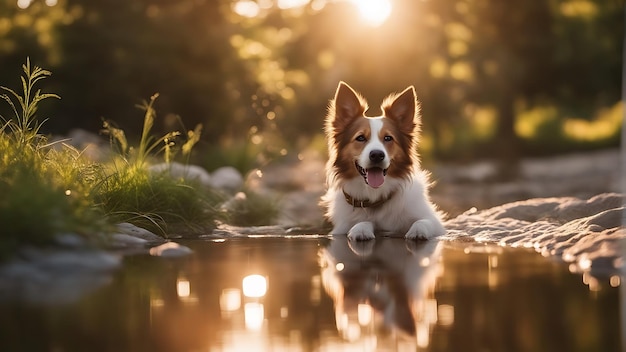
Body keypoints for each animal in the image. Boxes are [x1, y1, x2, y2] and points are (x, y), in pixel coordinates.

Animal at [322, 82, 444, 242]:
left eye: (388, 138)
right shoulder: (341, 228)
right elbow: (363, 223)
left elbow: (424, 221)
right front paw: (361, 229)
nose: (377, 155)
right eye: (360, 138)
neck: (376, 196)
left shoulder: (436, 222)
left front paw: (417, 231)